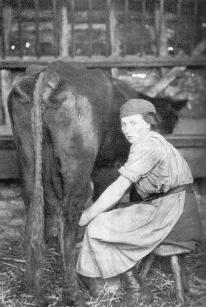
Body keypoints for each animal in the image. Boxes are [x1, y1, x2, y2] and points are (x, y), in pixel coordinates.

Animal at [7, 61, 186, 306]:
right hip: (78, 165)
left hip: (27, 155)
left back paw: (33, 288)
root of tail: (49, 72)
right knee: (68, 218)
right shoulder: (109, 167)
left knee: (36, 206)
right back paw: (73, 295)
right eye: (172, 115)